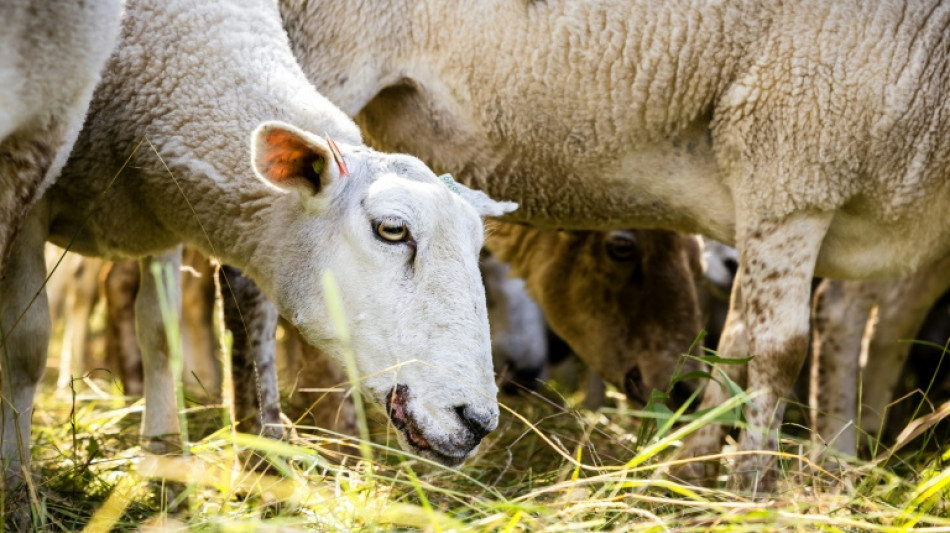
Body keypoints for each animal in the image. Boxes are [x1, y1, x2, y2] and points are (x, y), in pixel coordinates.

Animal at [0, 0, 516, 482]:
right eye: (392, 229)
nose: (477, 422)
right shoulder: (33, 188)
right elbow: (26, 344)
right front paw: (17, 476)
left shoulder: (157, 210)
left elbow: (160, 331)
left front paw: (163, 451)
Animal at [282, 1, 950, 490]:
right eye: (622, 248)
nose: (675, 392)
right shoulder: (793, 160)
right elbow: (774, 350)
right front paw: (743, 488)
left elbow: (764, 340)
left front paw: (698, 474)